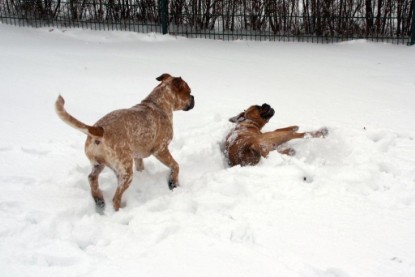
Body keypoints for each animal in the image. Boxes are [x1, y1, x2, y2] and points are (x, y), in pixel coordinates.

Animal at [54, 73, 195, 209]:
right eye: (188, 91)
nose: (193, 97)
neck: (158, 103)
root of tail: (99, 130)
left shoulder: (138, 156)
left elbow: (141, 167)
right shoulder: (161, 150)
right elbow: (176, 165)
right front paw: (173, 183)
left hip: (99, 164)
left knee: (91, 178)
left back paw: (99, 199)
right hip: (126, 171)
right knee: (115, 198)